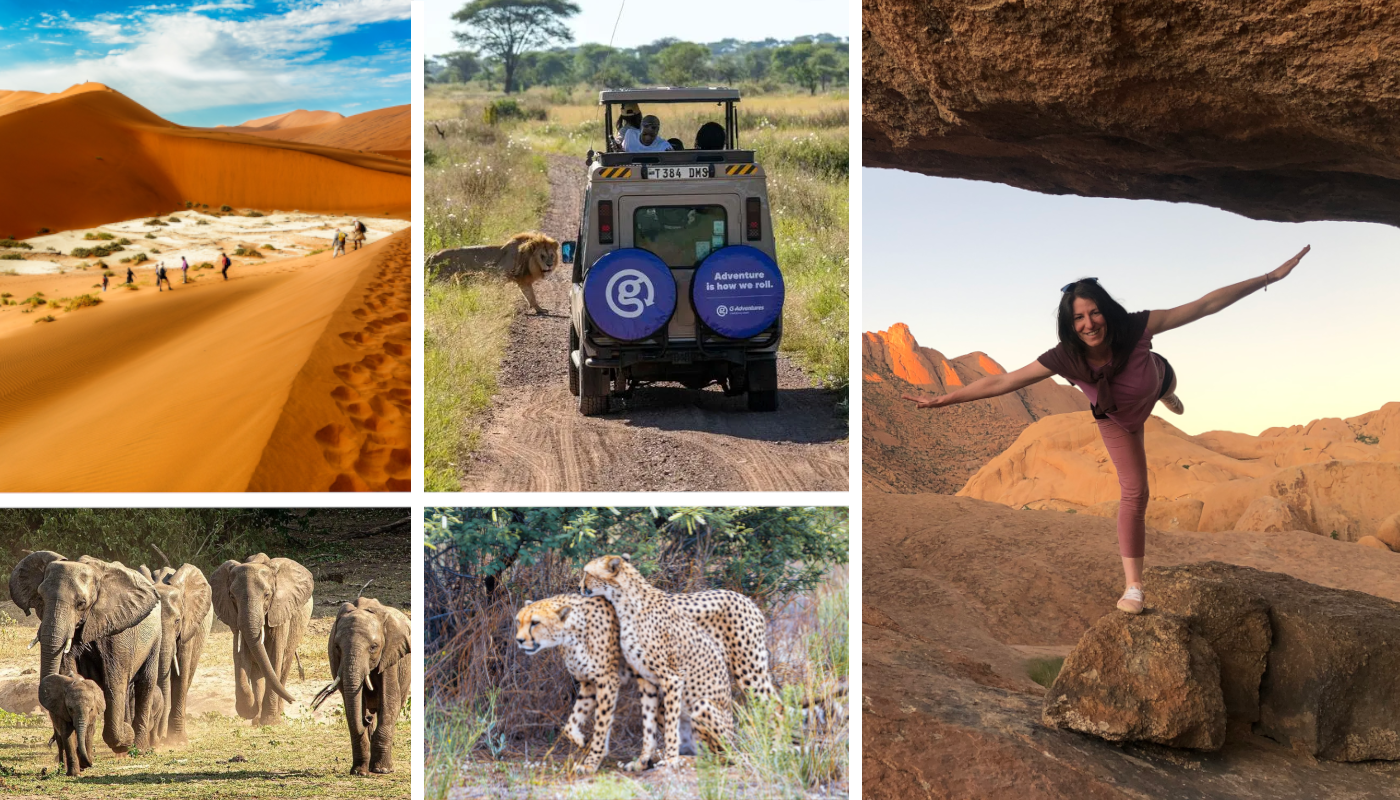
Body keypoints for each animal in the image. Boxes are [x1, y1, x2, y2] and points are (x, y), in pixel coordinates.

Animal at [426, 232, 559, 314]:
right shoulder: (499, 275)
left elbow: (531, 296)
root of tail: (433, 254)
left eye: (552, 255)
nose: (549, 265)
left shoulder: (523, 281)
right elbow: (499, 292)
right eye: (542, 256)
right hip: (439, 280)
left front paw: (540, 309)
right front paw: (497, 304)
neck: (528, 260)